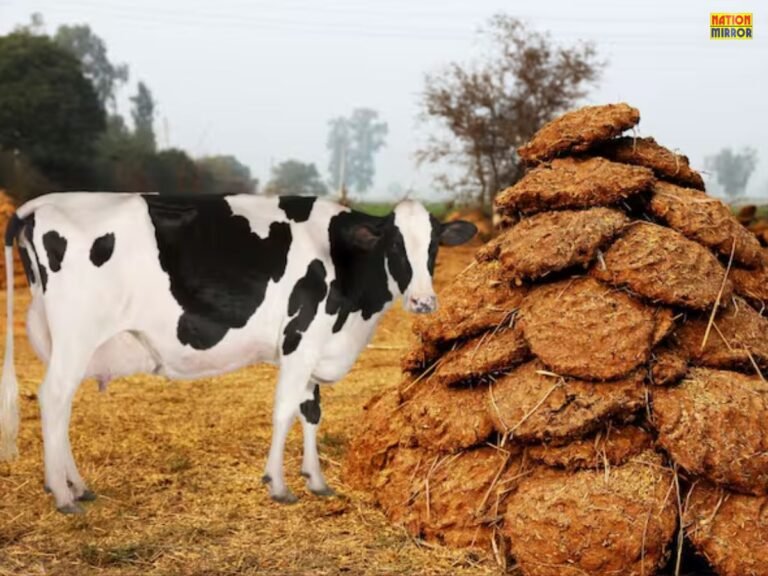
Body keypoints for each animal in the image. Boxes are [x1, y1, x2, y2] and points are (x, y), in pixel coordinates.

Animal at [0, 193, 476, 513]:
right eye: (394, 246)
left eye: (434, 247)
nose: (424, 302)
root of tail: (40, 204)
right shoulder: (300, 337)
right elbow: (285, 410)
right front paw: (279, 485)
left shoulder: (314, 346)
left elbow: (311, 412)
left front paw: (317, 480)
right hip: (76, 334)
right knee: (53, 399)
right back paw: (63, 495)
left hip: (62, 341)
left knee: (61, 407)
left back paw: (76, 486)